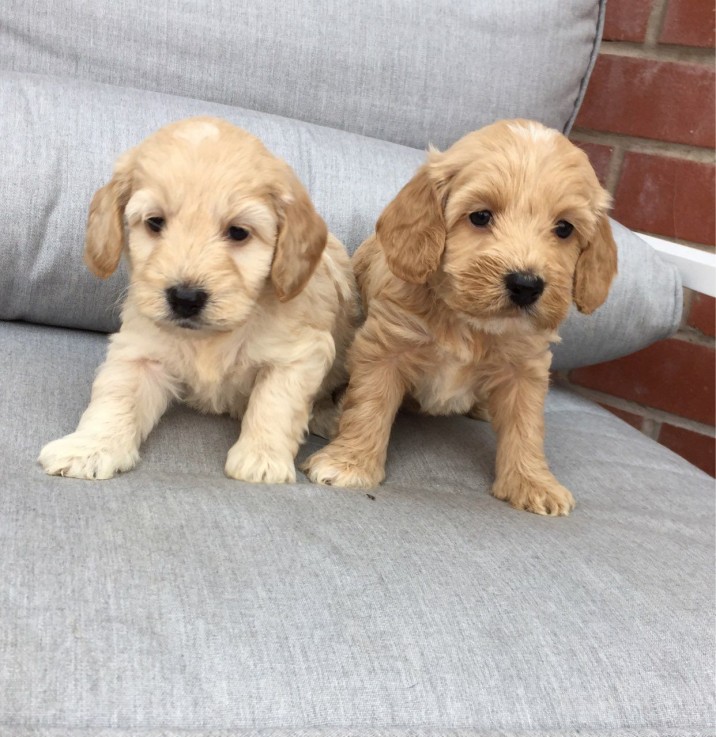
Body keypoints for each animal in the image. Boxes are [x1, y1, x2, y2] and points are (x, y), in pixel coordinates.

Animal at [39, 115, 358, 484]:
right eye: (154, 222)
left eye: (238, 232)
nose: (185, 298)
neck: (212, 336)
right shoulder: (141, 349)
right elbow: (117, 396)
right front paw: (89, 447)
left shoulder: (298, 354)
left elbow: (275, 403)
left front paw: (261, 458)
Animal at [302, 118, 616, 516]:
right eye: (480, 216)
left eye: (564, 228)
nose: (526, 285)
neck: (471, 323)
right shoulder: (385, 348)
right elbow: (369, 405)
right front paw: (349, 463)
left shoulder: (526, 369)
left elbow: (526, 427)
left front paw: (532, 483)